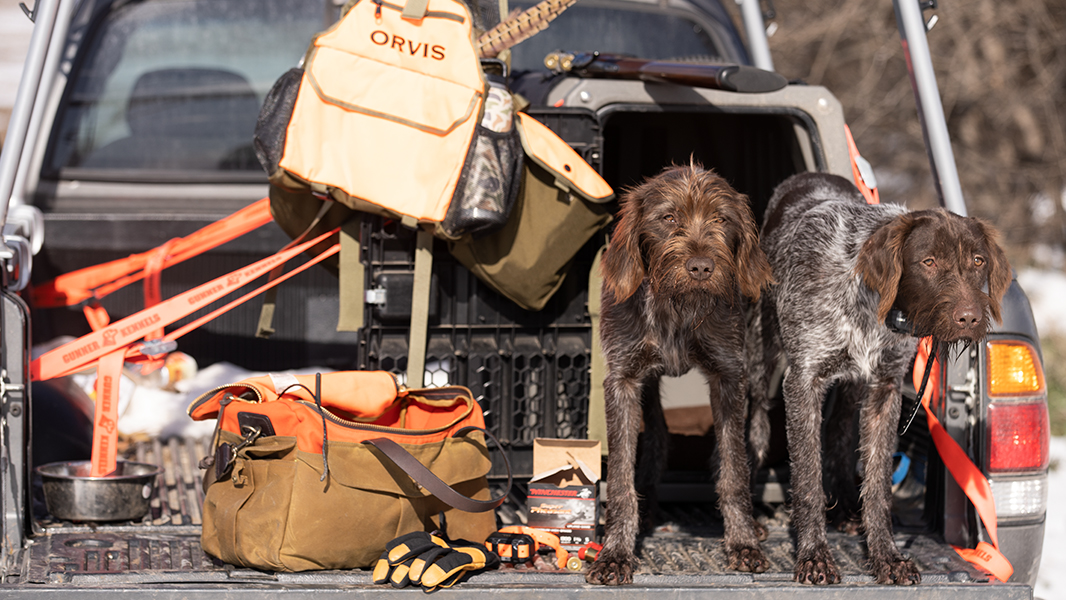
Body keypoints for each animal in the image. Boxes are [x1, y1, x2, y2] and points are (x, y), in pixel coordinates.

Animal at [746, 173, 1010, 588]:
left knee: (839, 433)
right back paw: (752, 518)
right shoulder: (803, 382)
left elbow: (878, 485)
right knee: (757, 425)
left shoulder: (884, 390)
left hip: (853, 387)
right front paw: (814, 555)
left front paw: (886, 555)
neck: (873, 307)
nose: (969, 318)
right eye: (928, 261)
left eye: (978, 261)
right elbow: (807, 480)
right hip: (762, 361)